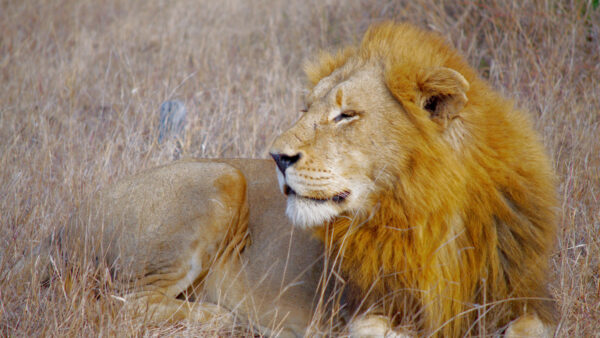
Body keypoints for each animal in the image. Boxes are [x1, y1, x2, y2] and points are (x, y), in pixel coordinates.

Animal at [4, 22, 556, 336]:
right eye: (306, 108)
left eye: (346, 115)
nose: (277, 157)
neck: (429, 215)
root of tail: (60, 228)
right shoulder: (358, 311)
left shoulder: (524, 299)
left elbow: (529, 328)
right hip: (219, 179)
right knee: (119, 303)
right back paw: (222, 321)